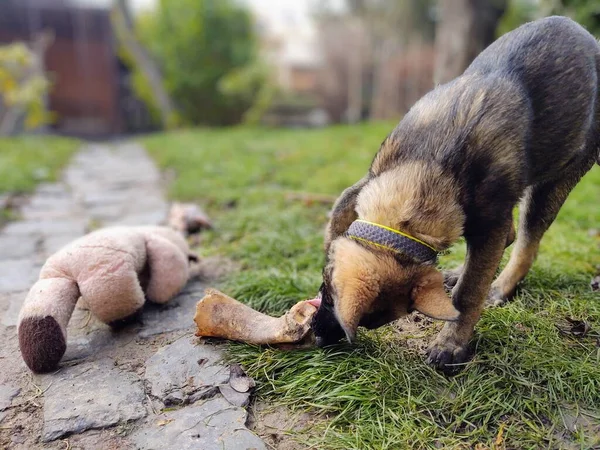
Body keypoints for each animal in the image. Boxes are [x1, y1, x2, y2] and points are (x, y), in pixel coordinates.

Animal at [310, 16, 600, 372]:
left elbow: (470, 292)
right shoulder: (365, 183)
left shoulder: (489, 224)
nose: (318, 338)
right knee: (508, 239)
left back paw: (501, 287)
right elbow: (337, 219)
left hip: (555, 181)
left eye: (371, 323)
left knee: (525, 244)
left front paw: (452, 343)